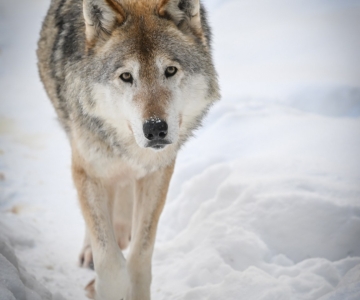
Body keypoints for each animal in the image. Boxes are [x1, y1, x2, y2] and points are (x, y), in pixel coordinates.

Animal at [36, 0, 219, 298]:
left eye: (170, 70)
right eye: (126, 76)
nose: (155, 129)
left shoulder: (157, 171)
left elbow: (139, 257)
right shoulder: (89, 169)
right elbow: (110, 261)